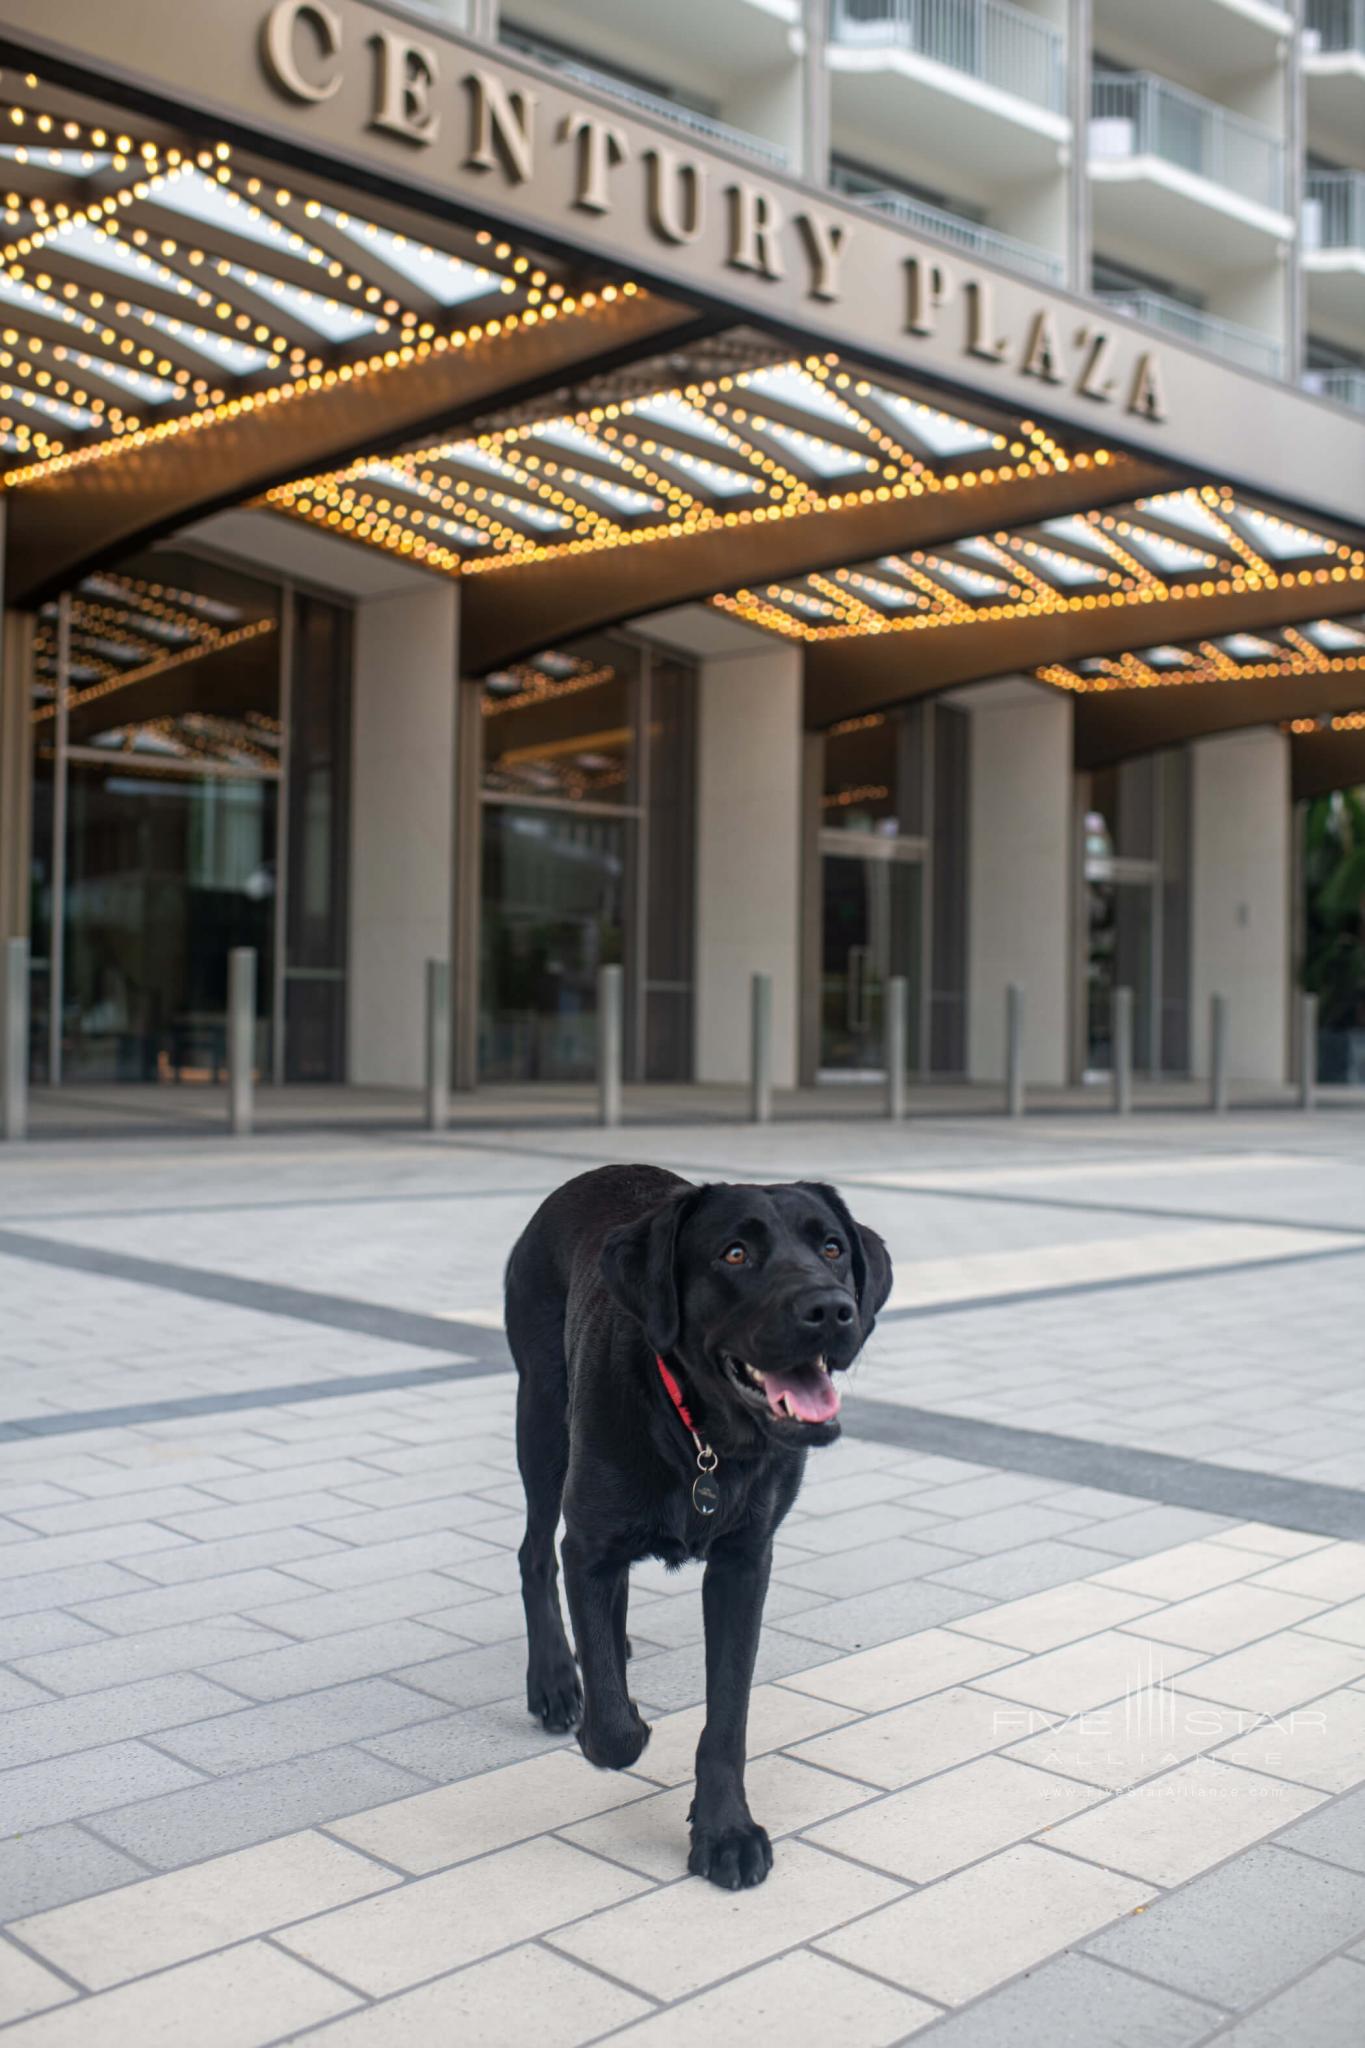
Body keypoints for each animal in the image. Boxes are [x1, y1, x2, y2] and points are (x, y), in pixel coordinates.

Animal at [507, 1163, 892, 1892]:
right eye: (734, 1255)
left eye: (831, 1248)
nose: (832, 1309)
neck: (700, 1436)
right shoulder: (591, 1543)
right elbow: (613, 1731)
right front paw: (609, 1714)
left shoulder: (745, 1563)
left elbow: (727, 1716)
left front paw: (725, 1832)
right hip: (540, 1416)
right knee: (535, 1554)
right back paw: (555, 1678)